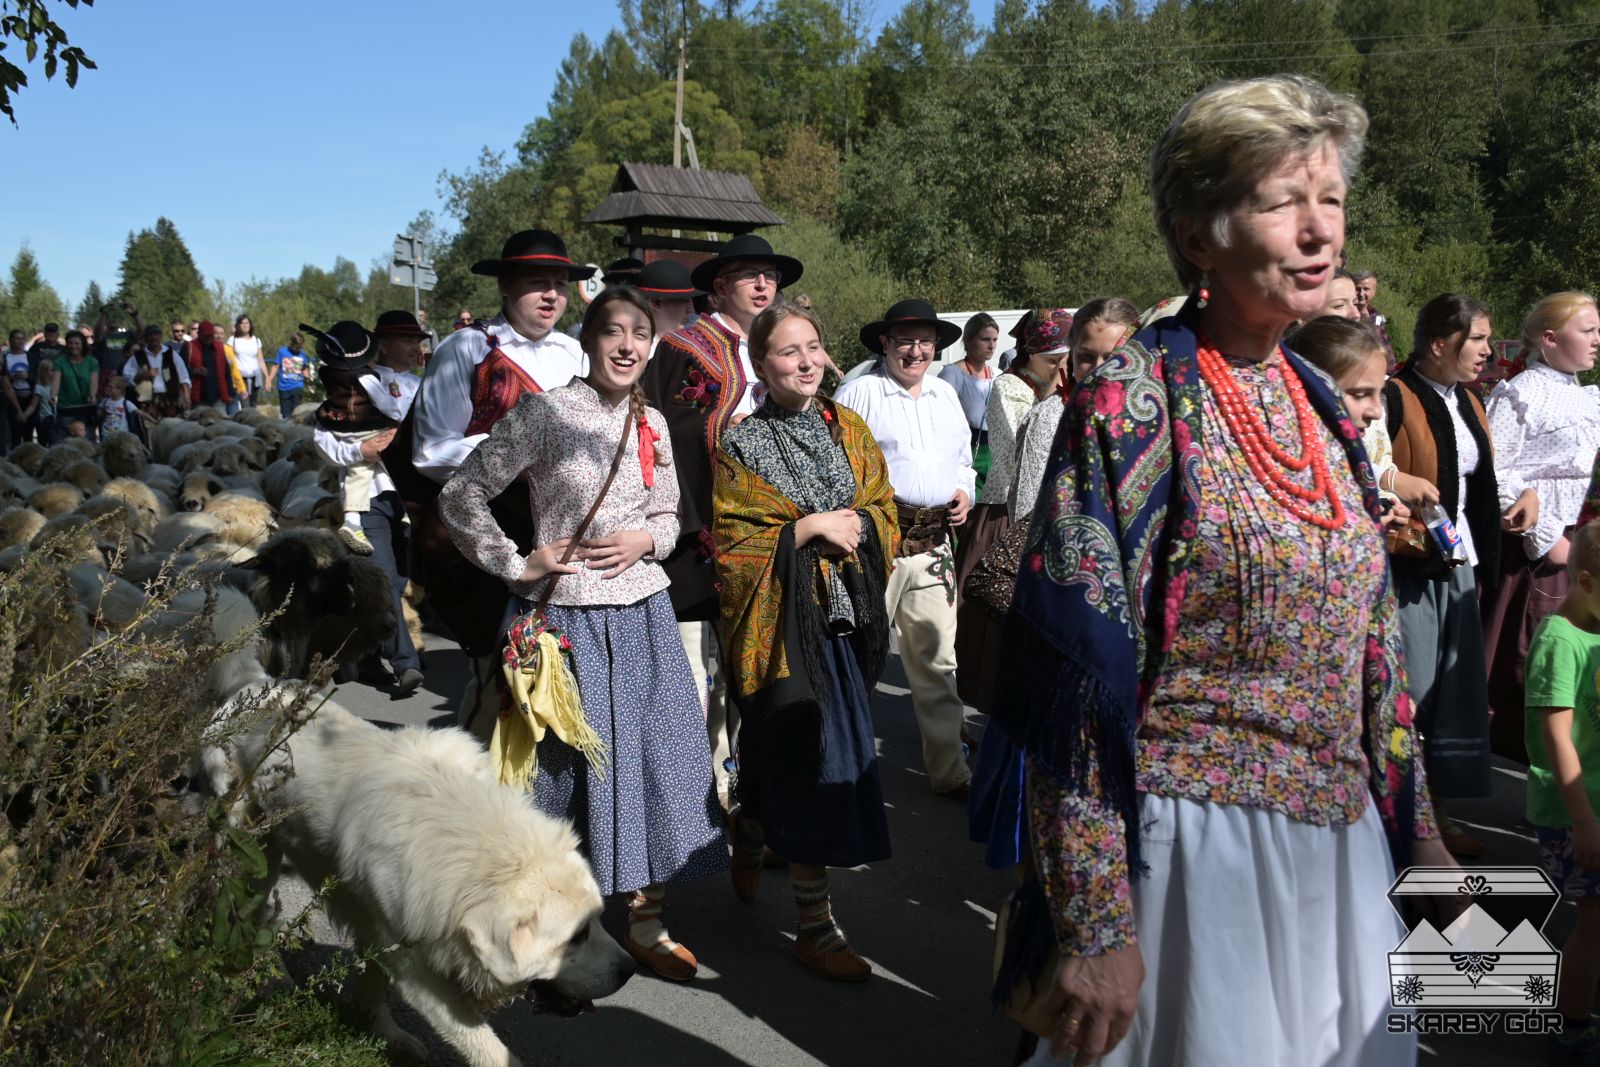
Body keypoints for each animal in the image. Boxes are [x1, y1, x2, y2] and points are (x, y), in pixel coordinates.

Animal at [222, 697, 633, 1062]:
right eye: (576, 937)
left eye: (599, 919)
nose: (629, 970)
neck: (479, 850)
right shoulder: (418, 972)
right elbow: (487, 1047)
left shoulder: (387, 933)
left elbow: (375, 981)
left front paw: (382, 1031)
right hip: (254, 852)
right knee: (250, 915)